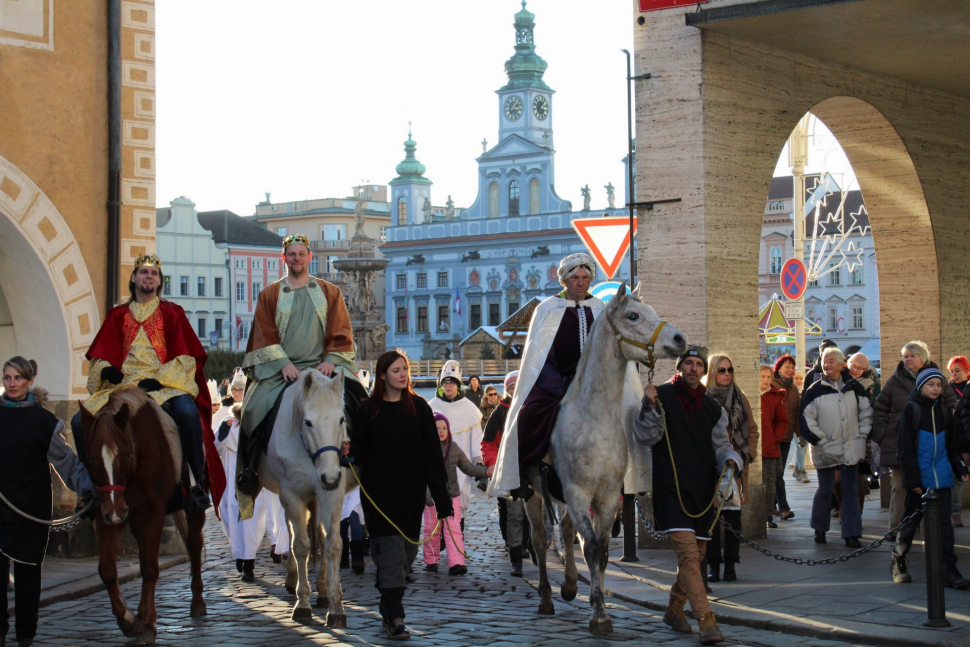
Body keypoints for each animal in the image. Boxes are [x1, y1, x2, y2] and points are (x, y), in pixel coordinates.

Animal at [80, 388, 207, 644]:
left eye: (126, 455)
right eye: (91, 459)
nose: (116, 512)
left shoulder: (153, 513)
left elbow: (150, 568)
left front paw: (147, 625)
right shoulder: (107, 513)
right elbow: (107, 569)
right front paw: (128, 620)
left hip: (192, 506)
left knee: (194, 544)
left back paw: (197, 601)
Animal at [255, 370, 350, 628]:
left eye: (342, 419)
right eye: (308, 422)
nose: (329, 477)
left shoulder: (331, 493)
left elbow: (333, 544)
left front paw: (336, 607)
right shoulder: (291, 494)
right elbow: (300, 545)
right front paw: (303, 603)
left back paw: (323, 590)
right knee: (291, 530)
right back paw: (292, 578)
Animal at [520, 286, 688, 636]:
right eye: (633, 315)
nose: (680, 339)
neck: (594, 418)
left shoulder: (608, 496)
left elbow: (603, 552)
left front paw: (598, 607)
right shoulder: (577, 492)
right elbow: (592, 547)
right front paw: (598, 614)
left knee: (566, 530)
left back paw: (570, 585)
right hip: (533, 493)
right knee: (540, 539)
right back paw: (546, 597)